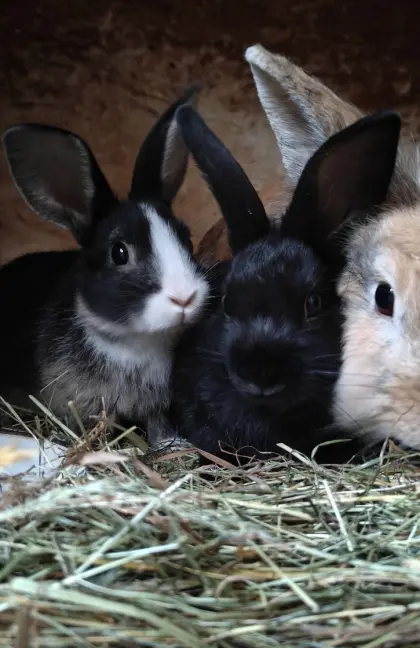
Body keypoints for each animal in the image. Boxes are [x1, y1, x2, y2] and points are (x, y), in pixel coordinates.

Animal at [0, 87, 210, 440]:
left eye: (187, 239)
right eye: (119, 253)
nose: (184, 298)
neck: (136, 342)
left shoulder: (156, 408)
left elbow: (158, 426)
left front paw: (169, 442)